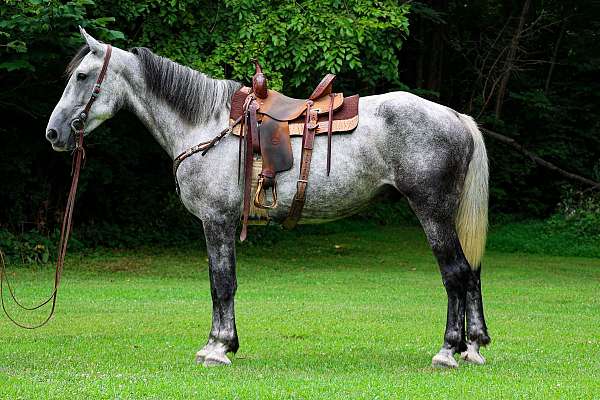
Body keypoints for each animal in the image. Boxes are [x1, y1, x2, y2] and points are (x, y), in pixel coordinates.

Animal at [45, 28, 488, 368]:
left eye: (82, 76)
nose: (53, 133)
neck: (206, 125)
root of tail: (455, 117)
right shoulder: (218, 224)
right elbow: (220, 282)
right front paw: (225, 343)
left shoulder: (217, 221)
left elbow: (222, 282)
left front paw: (217, 347)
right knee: (471, 273)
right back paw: (474, 346)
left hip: (433, 213)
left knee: (455, 274)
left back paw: (448, 351)